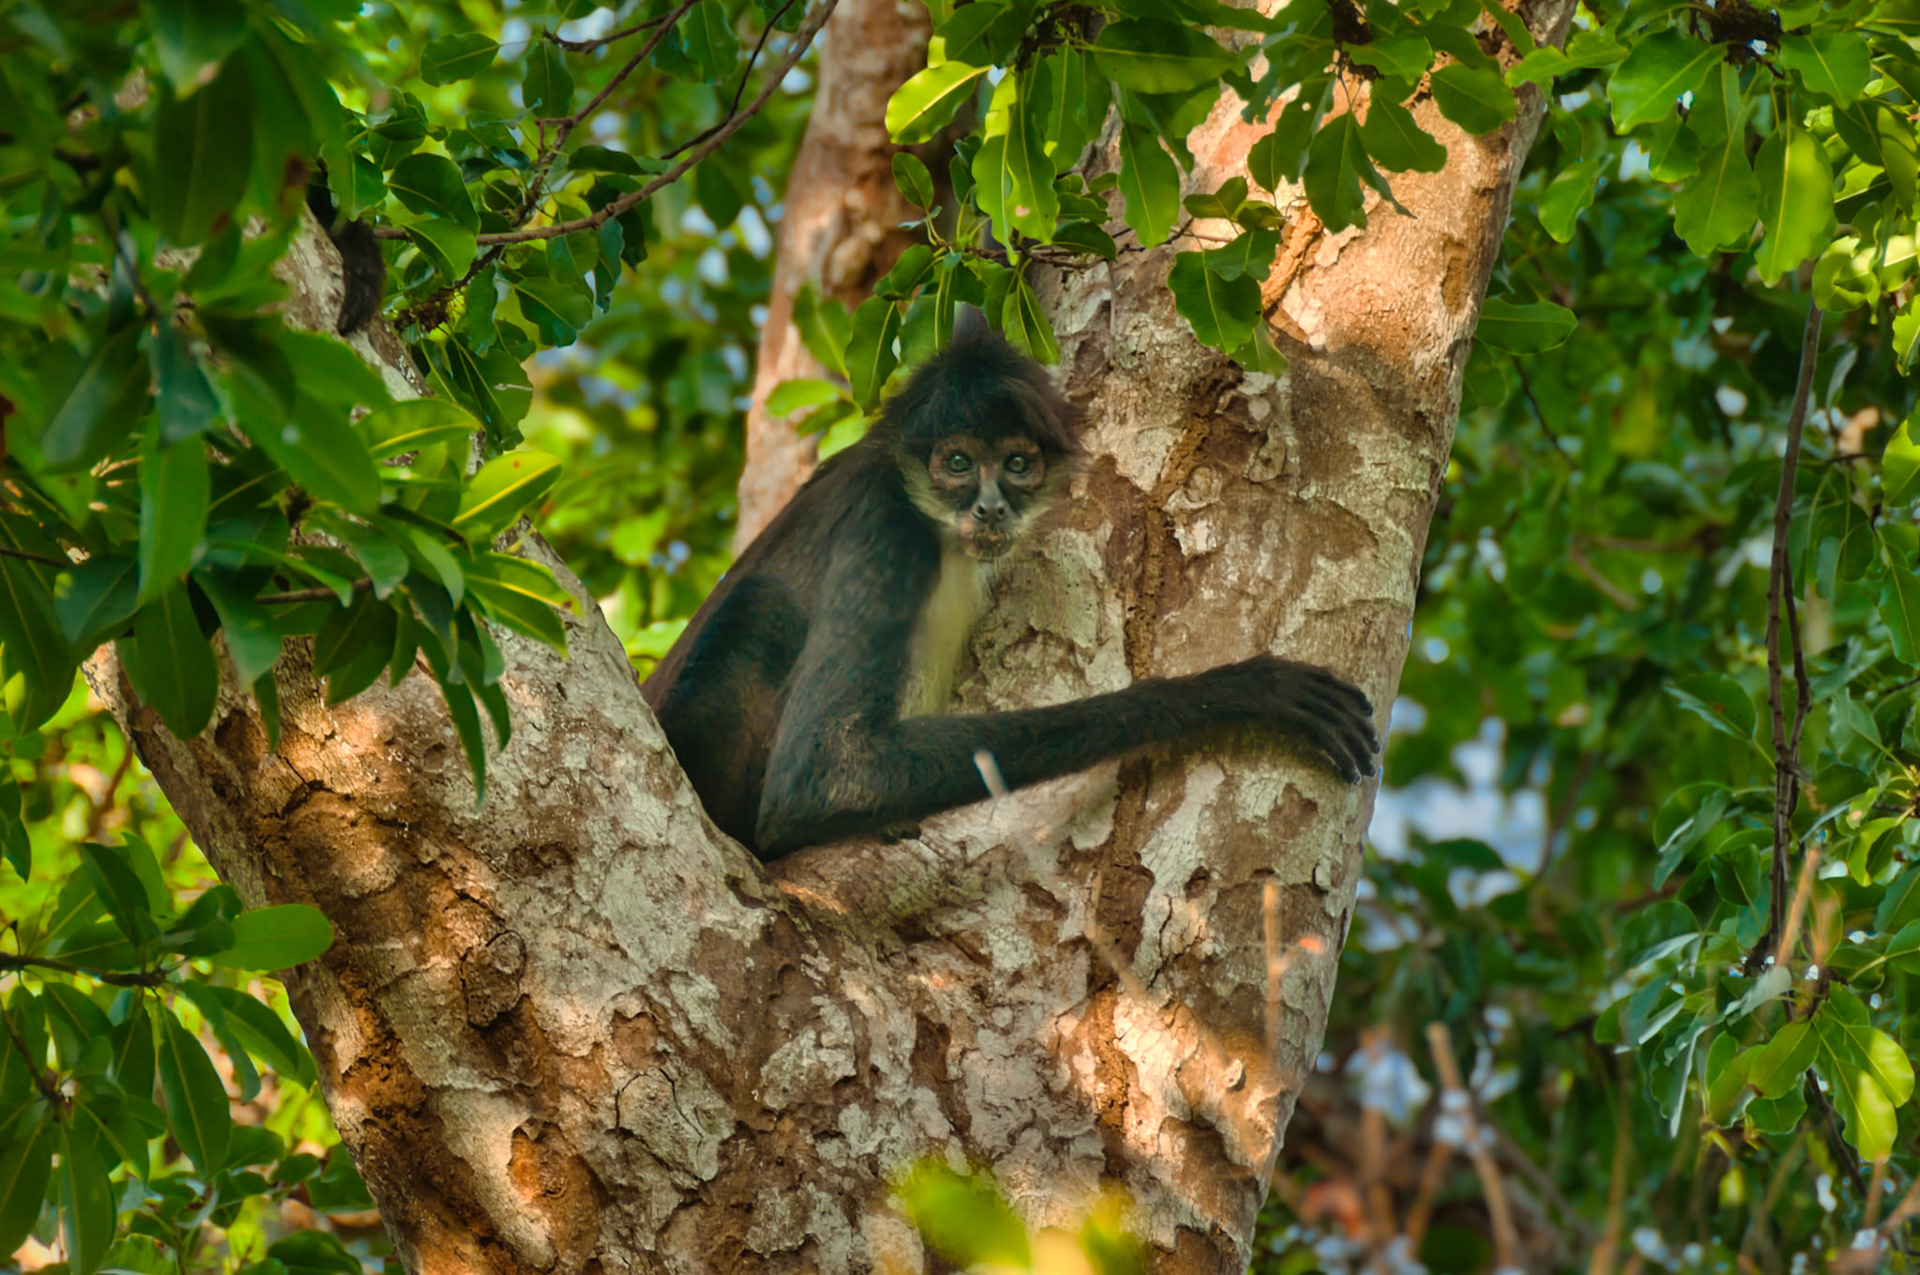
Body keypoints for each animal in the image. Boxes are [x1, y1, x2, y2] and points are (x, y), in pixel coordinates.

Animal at [641, 314, 1378, 861]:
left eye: (1018, 465)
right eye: (957, 463)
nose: (991, 507)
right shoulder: (888, 528)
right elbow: (823, 775)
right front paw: (1226, 694)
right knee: (762, 610)